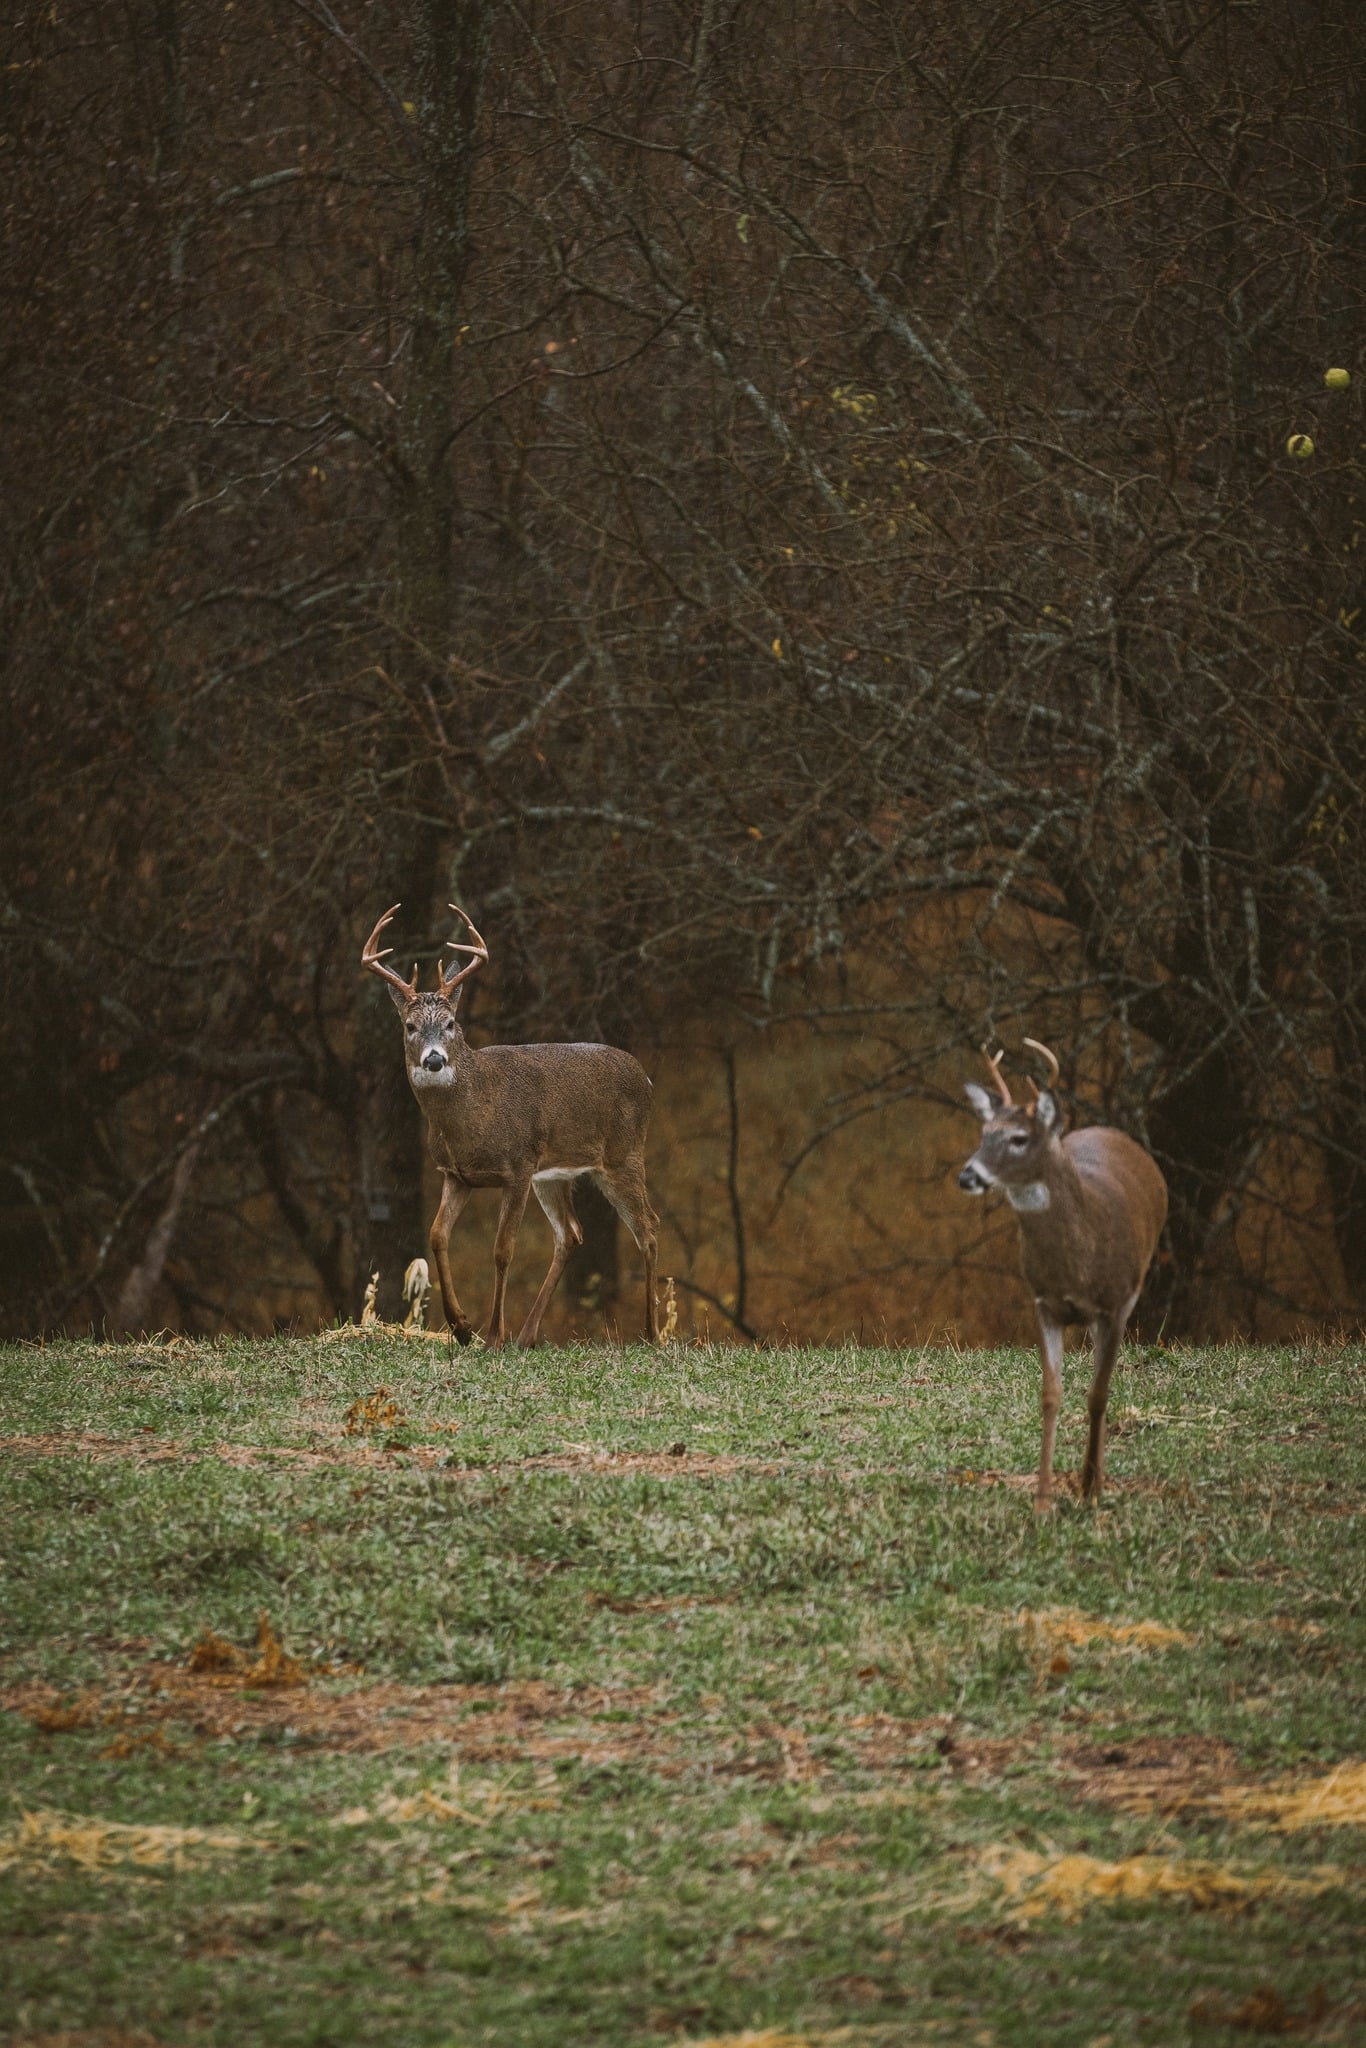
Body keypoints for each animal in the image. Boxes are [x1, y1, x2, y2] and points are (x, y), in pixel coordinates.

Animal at [361, 903, 661, 1349]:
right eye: (410, 1027)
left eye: (450, 1024)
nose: (434, 1059)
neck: (474, 1118)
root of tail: (645, 1079)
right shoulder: (456, 1175)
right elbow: (437, 1235)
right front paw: (461, 1327)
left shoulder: (517, 1167)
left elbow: (502, 1249)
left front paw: (491, 1335)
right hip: (554, 1174)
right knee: (571, 1234)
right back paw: (528, 1335)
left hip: (623, 1155)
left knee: (648, 1229)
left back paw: (651, 1333)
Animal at [957, 1039, 1168, 1512]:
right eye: (983, 1135)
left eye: (1019, 1138)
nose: (968, 1175)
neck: (1077, 1265)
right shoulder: (1044, 1303)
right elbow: (1051, 1395)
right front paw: (1043, 1501)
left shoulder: (1116, 1304)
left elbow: (1098, 1394)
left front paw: (1089, 1489)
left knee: (1102, 1384)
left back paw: (1097, 1479)